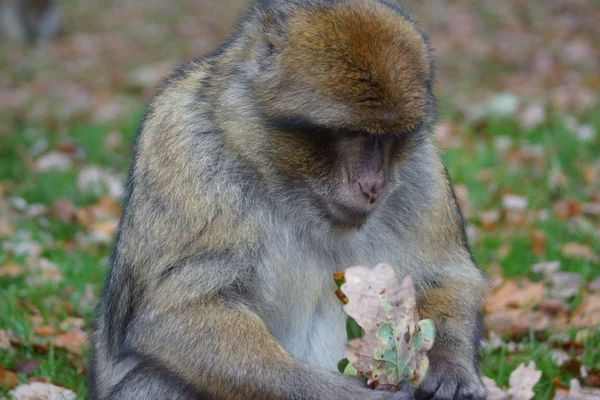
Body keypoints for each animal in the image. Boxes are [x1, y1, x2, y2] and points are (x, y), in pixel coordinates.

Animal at [90, 0, 488, 400]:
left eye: (392, 138)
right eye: (353, 134)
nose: (373, 185)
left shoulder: (422, 167)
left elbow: (445, 277)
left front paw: (449, 368)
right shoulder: (185, 145)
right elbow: (178, 313)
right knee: (159, 378)